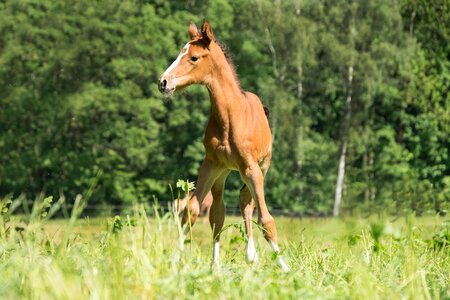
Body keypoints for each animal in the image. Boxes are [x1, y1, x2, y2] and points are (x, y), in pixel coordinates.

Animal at [160, 20, 290, 272]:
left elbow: (266, 219)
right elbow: (192, 211)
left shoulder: (251, 168)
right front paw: (175, 261)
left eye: (194, 57)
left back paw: (251, 255)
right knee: (218, 213)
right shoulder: (210, 164)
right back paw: (218, 264)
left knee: (247, 203)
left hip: (261, 167)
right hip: (222, 173)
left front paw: (286, 268)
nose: (163, 82)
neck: (230, 116)